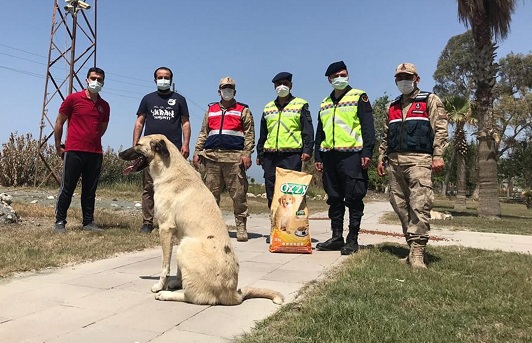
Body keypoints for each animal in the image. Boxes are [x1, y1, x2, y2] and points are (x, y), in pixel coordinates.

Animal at [120, 135, 284, 306]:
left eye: (138, 144)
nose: (119, 154)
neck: (168, 167)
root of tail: (232, 293)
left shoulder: (165, 229)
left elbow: (165, 266)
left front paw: (160, 286)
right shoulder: (178, 234)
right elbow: (178, 268)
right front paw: (177, 281)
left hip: (186, 245)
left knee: (194, 297)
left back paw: (165, 294)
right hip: (184, 243)